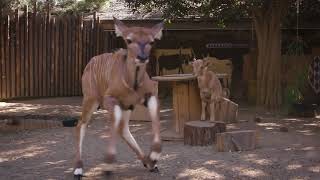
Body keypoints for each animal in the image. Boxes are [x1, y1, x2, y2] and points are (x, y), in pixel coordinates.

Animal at [74, 17, 164, 177]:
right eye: (129, 40)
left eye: (152, 42)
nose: (142, 57)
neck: (133, 84)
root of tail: (90, 62)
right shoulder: (110, 99)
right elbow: (113, 121)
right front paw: (108, 164)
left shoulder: (148, 97)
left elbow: (155, 116)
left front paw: (154, 156)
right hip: (91, 99)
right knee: (81, 125)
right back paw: (78, 168)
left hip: (127, 107)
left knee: (123, 129)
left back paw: (149, 163)